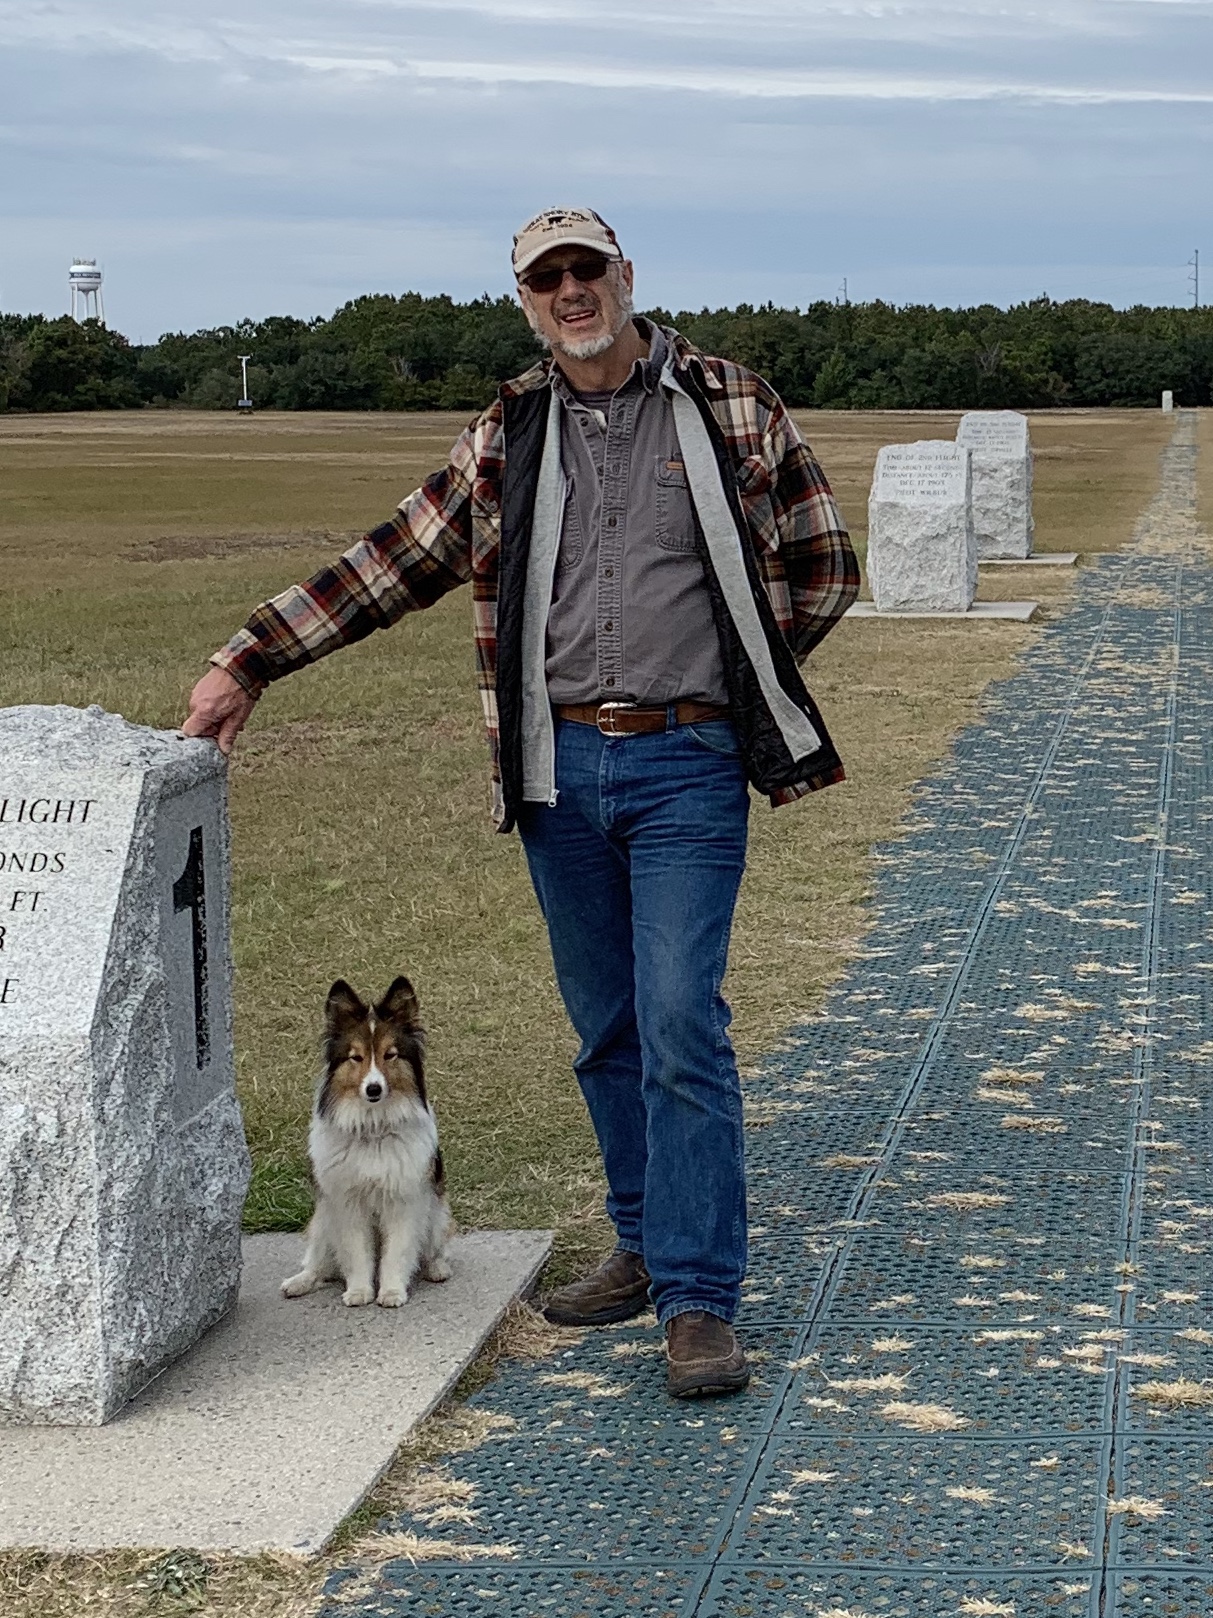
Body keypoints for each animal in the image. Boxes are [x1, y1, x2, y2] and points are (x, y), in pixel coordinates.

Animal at [281, 975, 452, 1308]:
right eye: (356, 1057)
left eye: (390, 1055)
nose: (373, 1089)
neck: (373, 1128)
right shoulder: (347, 1203)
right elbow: (357, 1253)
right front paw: (360, 1291)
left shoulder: (403, 1201)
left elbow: (396, 1253)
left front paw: (391, 1292)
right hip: (323, 1220)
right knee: (320, 1266)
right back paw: (298, 1282)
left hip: (436, 1212)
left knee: (431, 1251)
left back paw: (437, 1269)